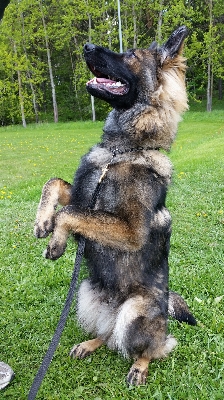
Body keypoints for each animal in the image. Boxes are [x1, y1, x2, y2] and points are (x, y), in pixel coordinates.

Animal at [34, 26, 195, 386]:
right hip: (86, 295)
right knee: (109, 335)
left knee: (153, 346)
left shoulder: (129, 229)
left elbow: (72, 214)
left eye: (131, 55)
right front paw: (42, 221)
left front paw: (57, 240)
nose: (87, 45)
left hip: (135, 313)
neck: (121, 150)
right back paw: (90, 344)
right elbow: (55, 184)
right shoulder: (83, 194)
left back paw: (139, 367)